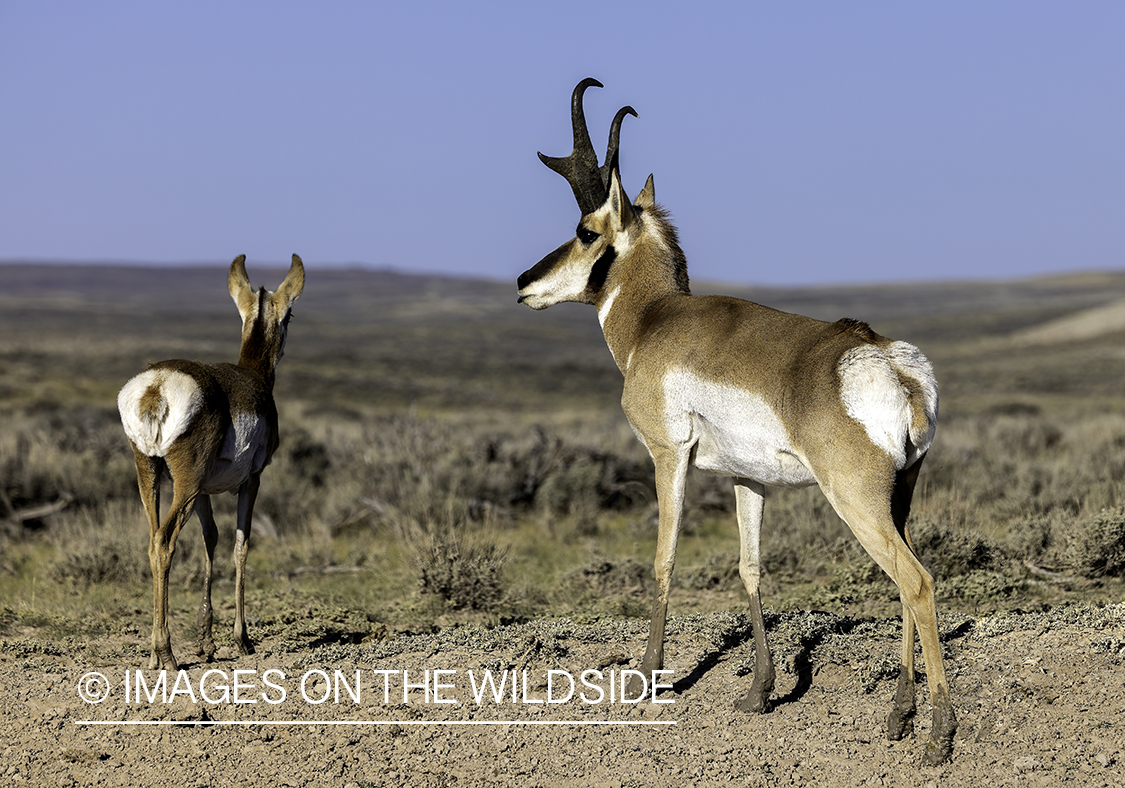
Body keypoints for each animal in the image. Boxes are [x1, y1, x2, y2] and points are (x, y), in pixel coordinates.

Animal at [118, 254, 303, 670]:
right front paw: (241, 640)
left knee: (152, 541)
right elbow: (240, 545)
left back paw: (154, 655)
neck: (252, 376)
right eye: (291, 315)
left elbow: (211, 539)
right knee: (165, 541)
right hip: (184, 484)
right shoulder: (252, 481)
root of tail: (156, 385)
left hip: (151, 475)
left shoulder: (203, 491)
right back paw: (166, 653)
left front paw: (206, 642)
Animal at [517, 79, 958, 765]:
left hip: (855, 501)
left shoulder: (668, 456)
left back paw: (936, 733)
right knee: (908, 577)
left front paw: (646, 680)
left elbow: (664, 559)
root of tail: (890, 362)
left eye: (586, 230)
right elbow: (750, 568)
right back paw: (898, 715)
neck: (654, 320)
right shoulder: (747, 481)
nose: (522, 281)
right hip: (898, 500)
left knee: (917, 582)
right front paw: (758, 693)